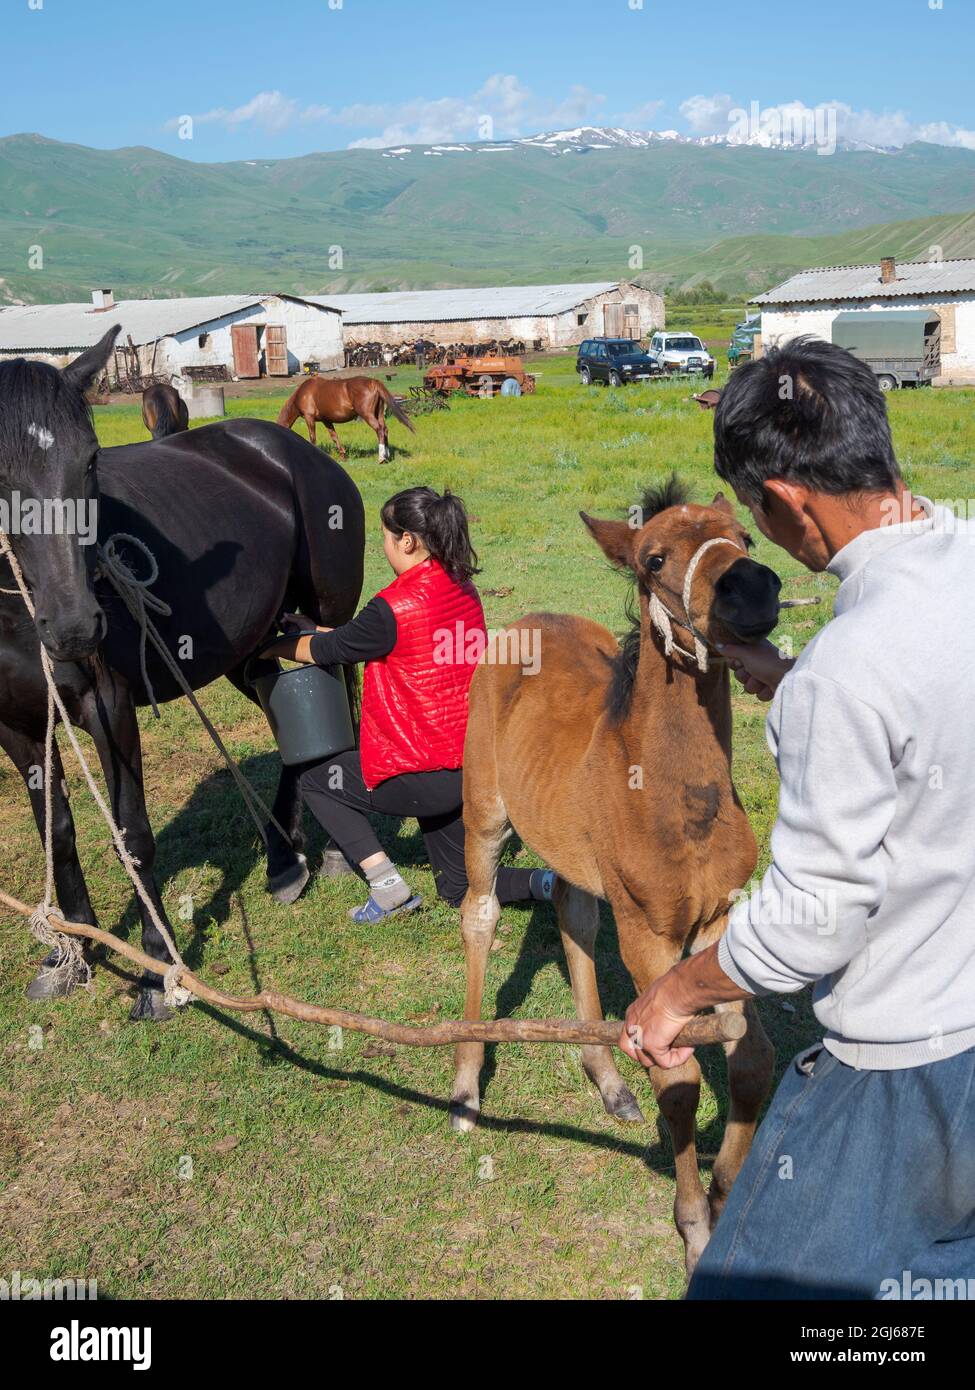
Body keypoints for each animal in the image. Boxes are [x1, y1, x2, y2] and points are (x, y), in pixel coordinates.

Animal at [0, 325, 364, 1023]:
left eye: (91, 460)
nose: (75, 627)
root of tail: (300, 454)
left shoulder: (109, 708)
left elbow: (132, 835)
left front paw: (155, 970)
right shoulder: (20, 727)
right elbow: (56, 833)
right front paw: (72, 952)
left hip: (326, 628)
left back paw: (330, 851)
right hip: (257, 649)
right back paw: (283, 857)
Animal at [274, 375, 414, 461]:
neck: (302, 393)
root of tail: (373, 382)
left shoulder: (310, 418)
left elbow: (313, 438)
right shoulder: (326, 420)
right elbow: (334, 437)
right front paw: (343, 455)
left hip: (367, 415)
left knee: (379, 429)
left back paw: (381, 458)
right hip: (378, 413)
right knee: (385, 429)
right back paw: (387, 455)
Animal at [453, 480, 778, 1278]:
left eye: (745, 540)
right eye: (653, 559)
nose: (755, 588)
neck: (680, 801)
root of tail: (528, 619)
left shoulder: (718, 921)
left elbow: (751, 1062)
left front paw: (724, 1195)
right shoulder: (647, 934)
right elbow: (679, 1081)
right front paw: (693, 1227)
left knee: (572, 915)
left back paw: (604, 1078)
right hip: (484, 812)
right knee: (480, 913)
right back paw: (466, 1081)